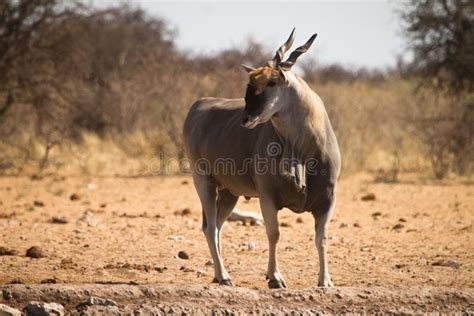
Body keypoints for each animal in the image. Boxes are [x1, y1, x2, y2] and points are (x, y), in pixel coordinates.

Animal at [182, 28, 340, 288]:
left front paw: (325, 280)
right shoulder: (267, 196)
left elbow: (322, 237)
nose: (246, 118)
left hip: (229, 193)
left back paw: (219, 274)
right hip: (203, 181)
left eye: (272, 82)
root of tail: (197, 105)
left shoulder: (327, 199)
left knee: (217, 227)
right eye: (250, 83)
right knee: (210, 227)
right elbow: (274, 233)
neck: (303, 151)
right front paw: (275, 278)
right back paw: (224, 276)